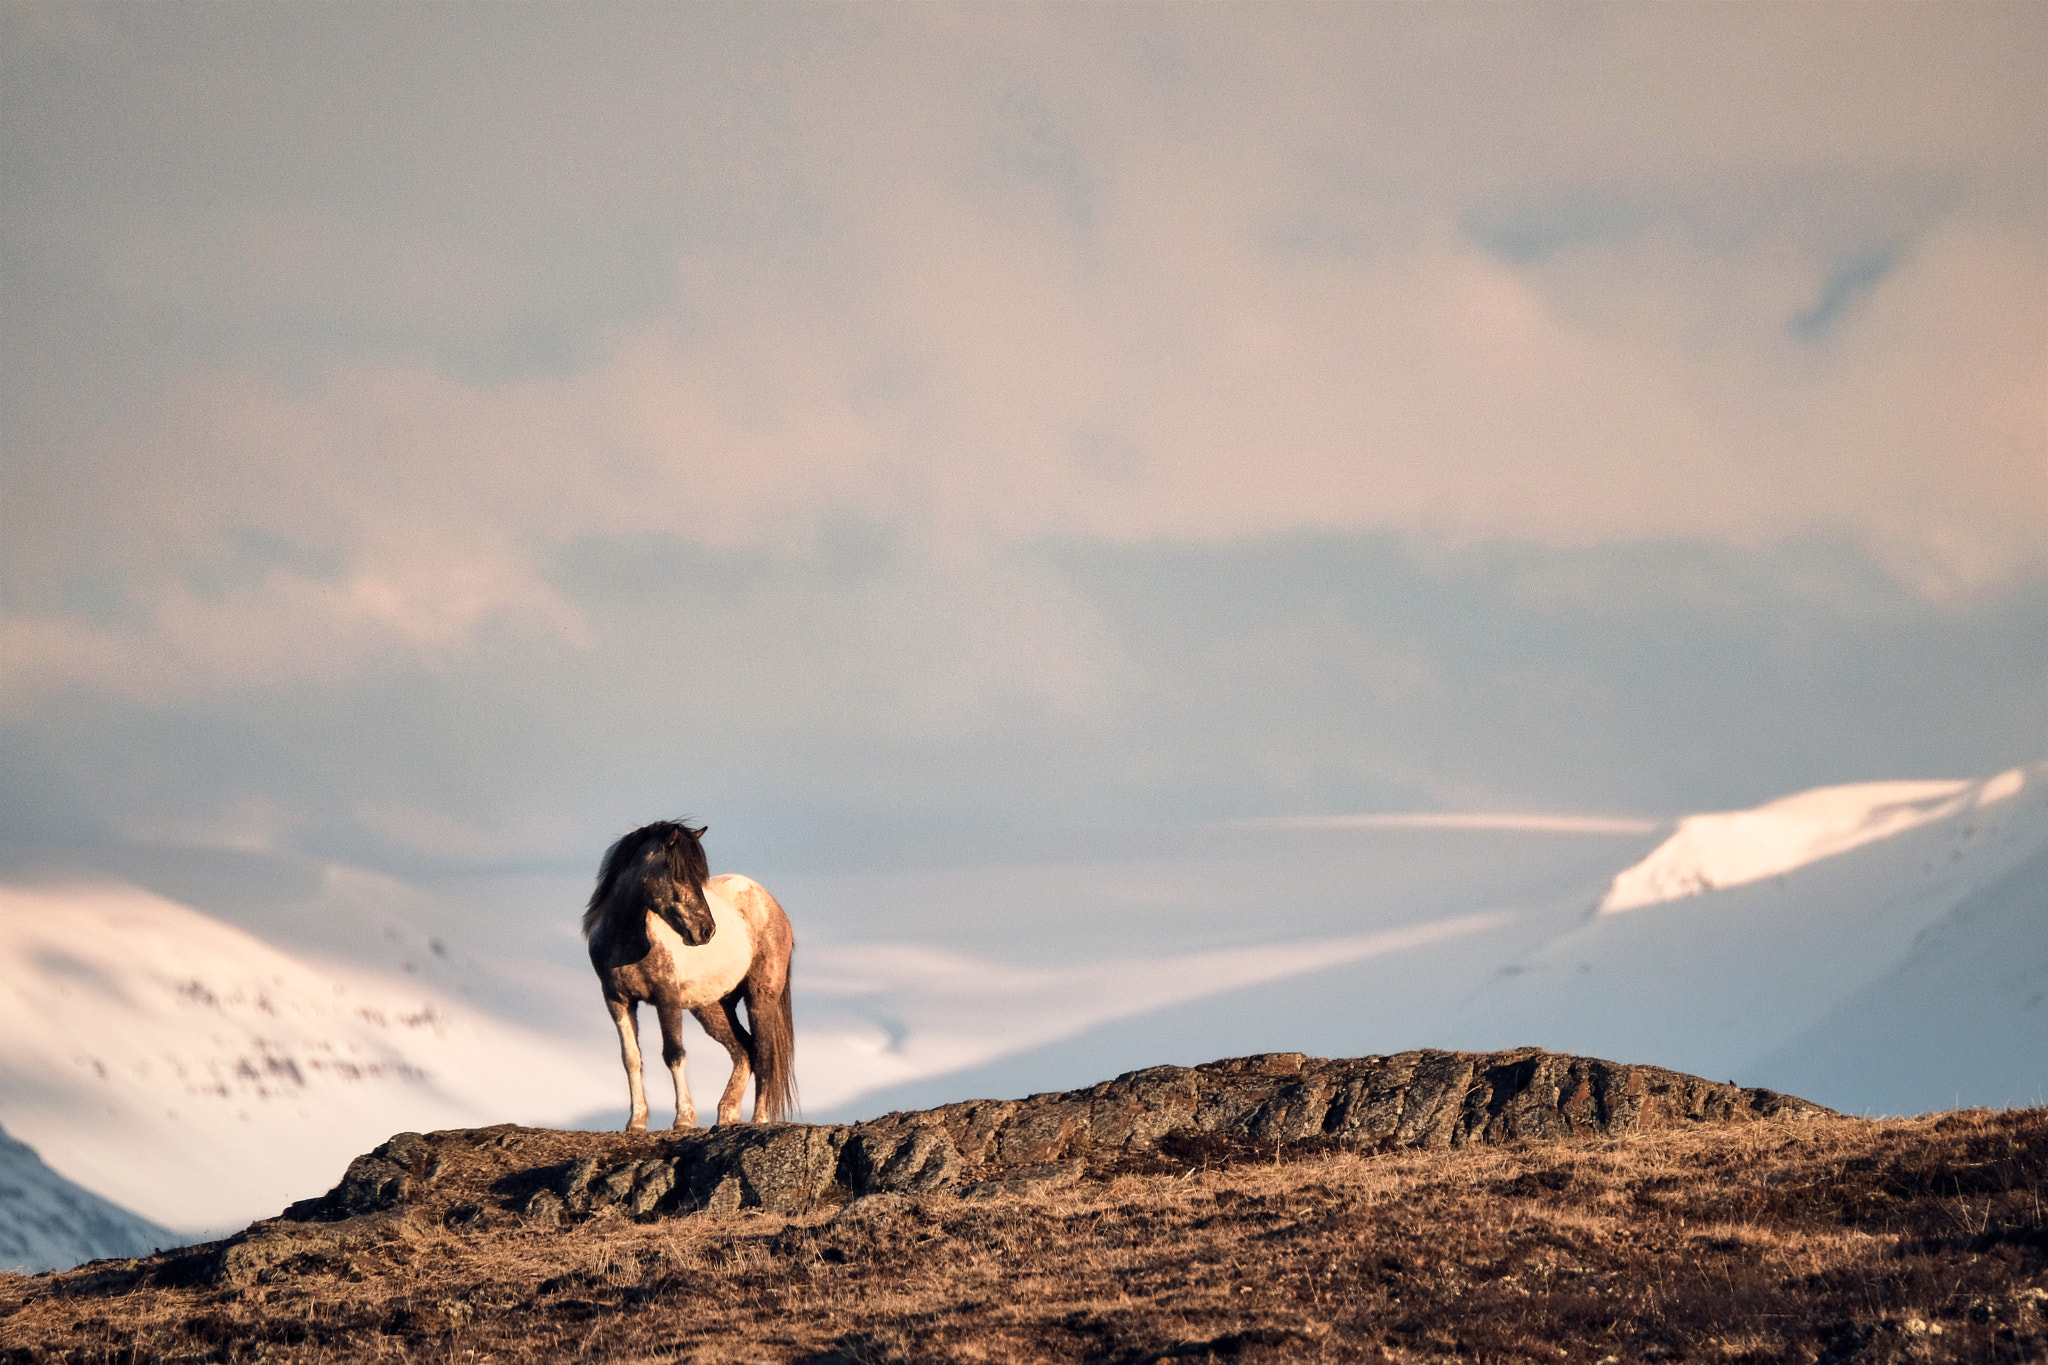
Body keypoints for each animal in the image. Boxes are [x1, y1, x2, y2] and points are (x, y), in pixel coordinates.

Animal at [585, 822, 798, 1129]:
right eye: (678, 875)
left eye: (699, 877)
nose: (706, 931)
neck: (626, 939)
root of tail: (771, 904)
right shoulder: (617, 1000)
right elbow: (631, 1058)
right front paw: (636, 1121)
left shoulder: (667, 997)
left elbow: (674, 1053)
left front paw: (684, 1118)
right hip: (712, 1007)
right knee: (743, 1051)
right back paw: (727, 1115)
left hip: (760, 997)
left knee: (763, 1054)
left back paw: (758, 1119)